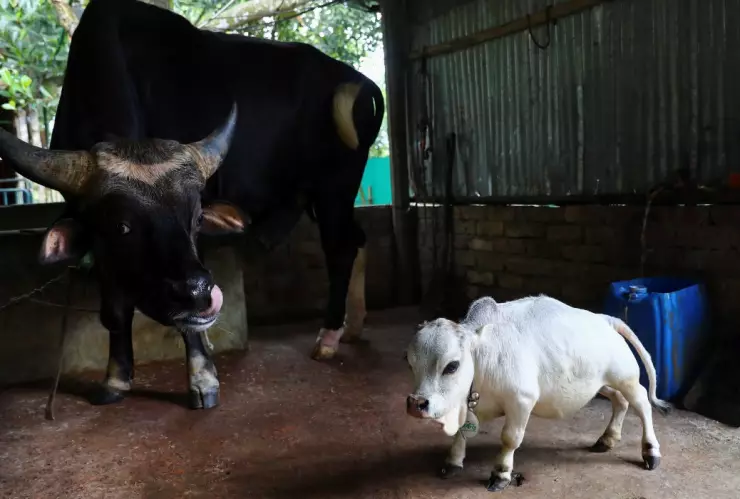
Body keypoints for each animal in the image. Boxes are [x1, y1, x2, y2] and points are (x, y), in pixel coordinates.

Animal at [0, 0, 384, 410]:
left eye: (197, 218)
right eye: (121, 226)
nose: (199, 294)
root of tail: (360, 81)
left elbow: (188, 324)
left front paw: (203, 378)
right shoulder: (102, 248)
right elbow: (115, 310)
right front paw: (116, 379)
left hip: (334, 191)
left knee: (340, 250)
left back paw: (328, 337)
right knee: (357, 239)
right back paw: (353, 327)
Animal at [404, 296, 672, 492]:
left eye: (452, 366)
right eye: (409, 362)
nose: (416, 403)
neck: (482, 359)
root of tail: (606, 319)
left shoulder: (521, 400)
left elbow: (510, 438)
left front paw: (501, 473)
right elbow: (461, 432)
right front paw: (453, 461)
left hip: (626, 377)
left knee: (642, 403)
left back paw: (650, 450)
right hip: (599, 383)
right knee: (620, 400)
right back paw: (607, 438)